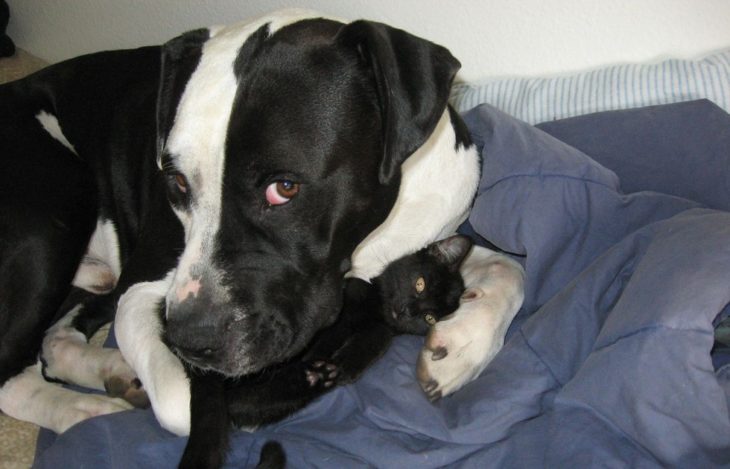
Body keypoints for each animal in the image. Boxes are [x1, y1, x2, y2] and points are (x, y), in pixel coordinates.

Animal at [0, 6, 524, 460]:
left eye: (284, 187)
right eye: (177, 182)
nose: (191, 341)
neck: (370, 243)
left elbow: (509, 266)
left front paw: (459, 349)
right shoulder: (142, 288)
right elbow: (182, 404)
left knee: (55, 338)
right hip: (56, 212)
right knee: (13, 371)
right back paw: (86, 408)